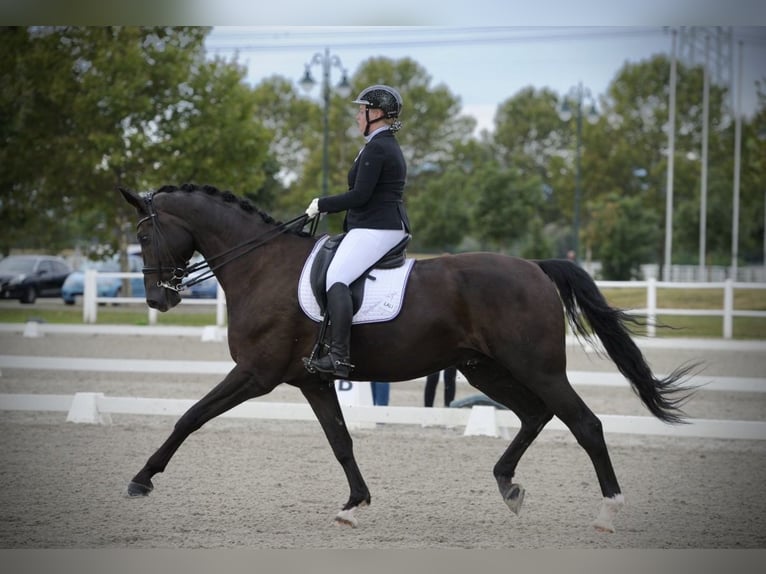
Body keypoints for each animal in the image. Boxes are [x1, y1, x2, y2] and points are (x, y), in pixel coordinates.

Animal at [118, 184, 696, 536]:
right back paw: (507, 485)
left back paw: (608, 513)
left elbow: (190, 416)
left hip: (538, 368)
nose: (157, 300)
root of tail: (534, 266)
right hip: (484, 368)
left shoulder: (256, 374)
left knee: (585, 423)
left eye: (144, 234)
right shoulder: (312, 382)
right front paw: (354, 506)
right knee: (536, 415)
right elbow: (341, 441)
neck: (260, 266)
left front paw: (141, 479)